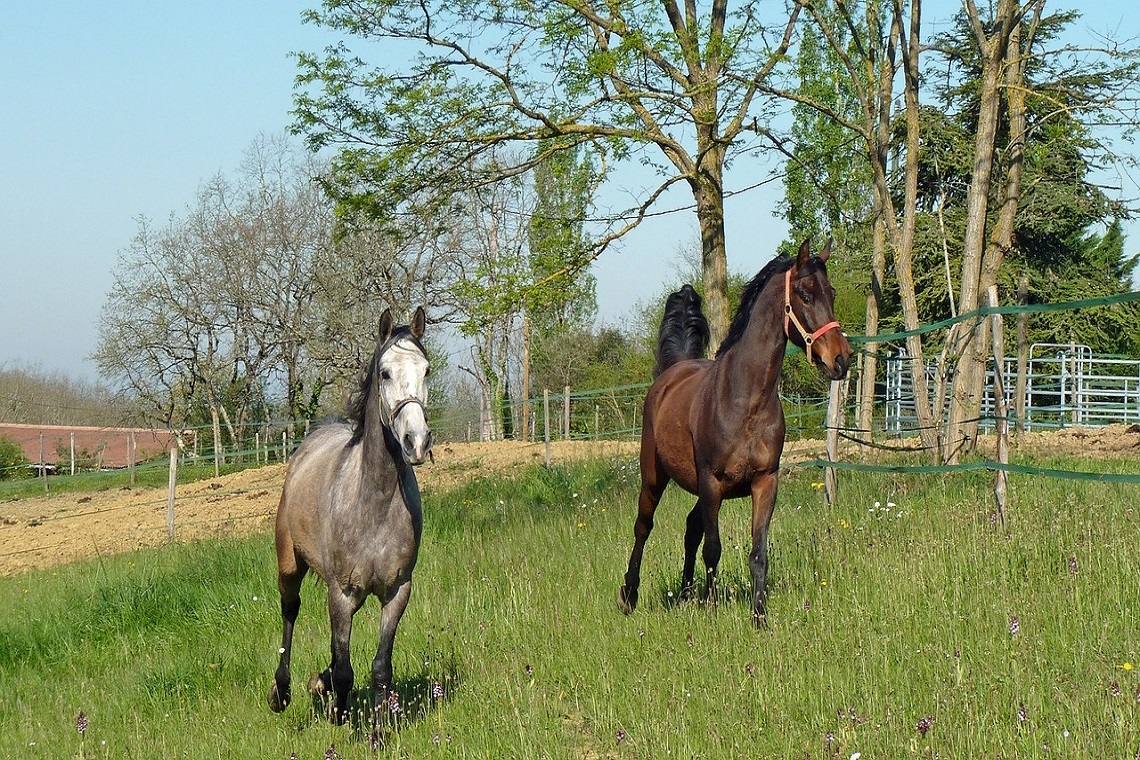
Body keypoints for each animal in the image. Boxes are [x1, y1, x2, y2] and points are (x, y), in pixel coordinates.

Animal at [266, 305, 430, 724]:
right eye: (384, 372)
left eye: (426, 370)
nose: (417, 442)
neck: (374, 504)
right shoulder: (342, 593)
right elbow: (344, 669)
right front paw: (339, 715)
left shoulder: (397, 591)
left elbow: (379, 667)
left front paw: (378, 726)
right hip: (290, 565)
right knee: (289, 611)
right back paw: (283, 691)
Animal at [620, 240, 852, 628]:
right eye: (805, 294)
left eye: (831, 292)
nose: (842, 359)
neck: (745, 402)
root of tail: (672, 372)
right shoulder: (712, 481)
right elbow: (713, 549)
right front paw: (713, 609)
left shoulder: (765, 482)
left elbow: (757, 552)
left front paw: (759, 617)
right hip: (655, 478)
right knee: (643, 527)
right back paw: (629, 596)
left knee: (690, 528)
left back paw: (686, 594)